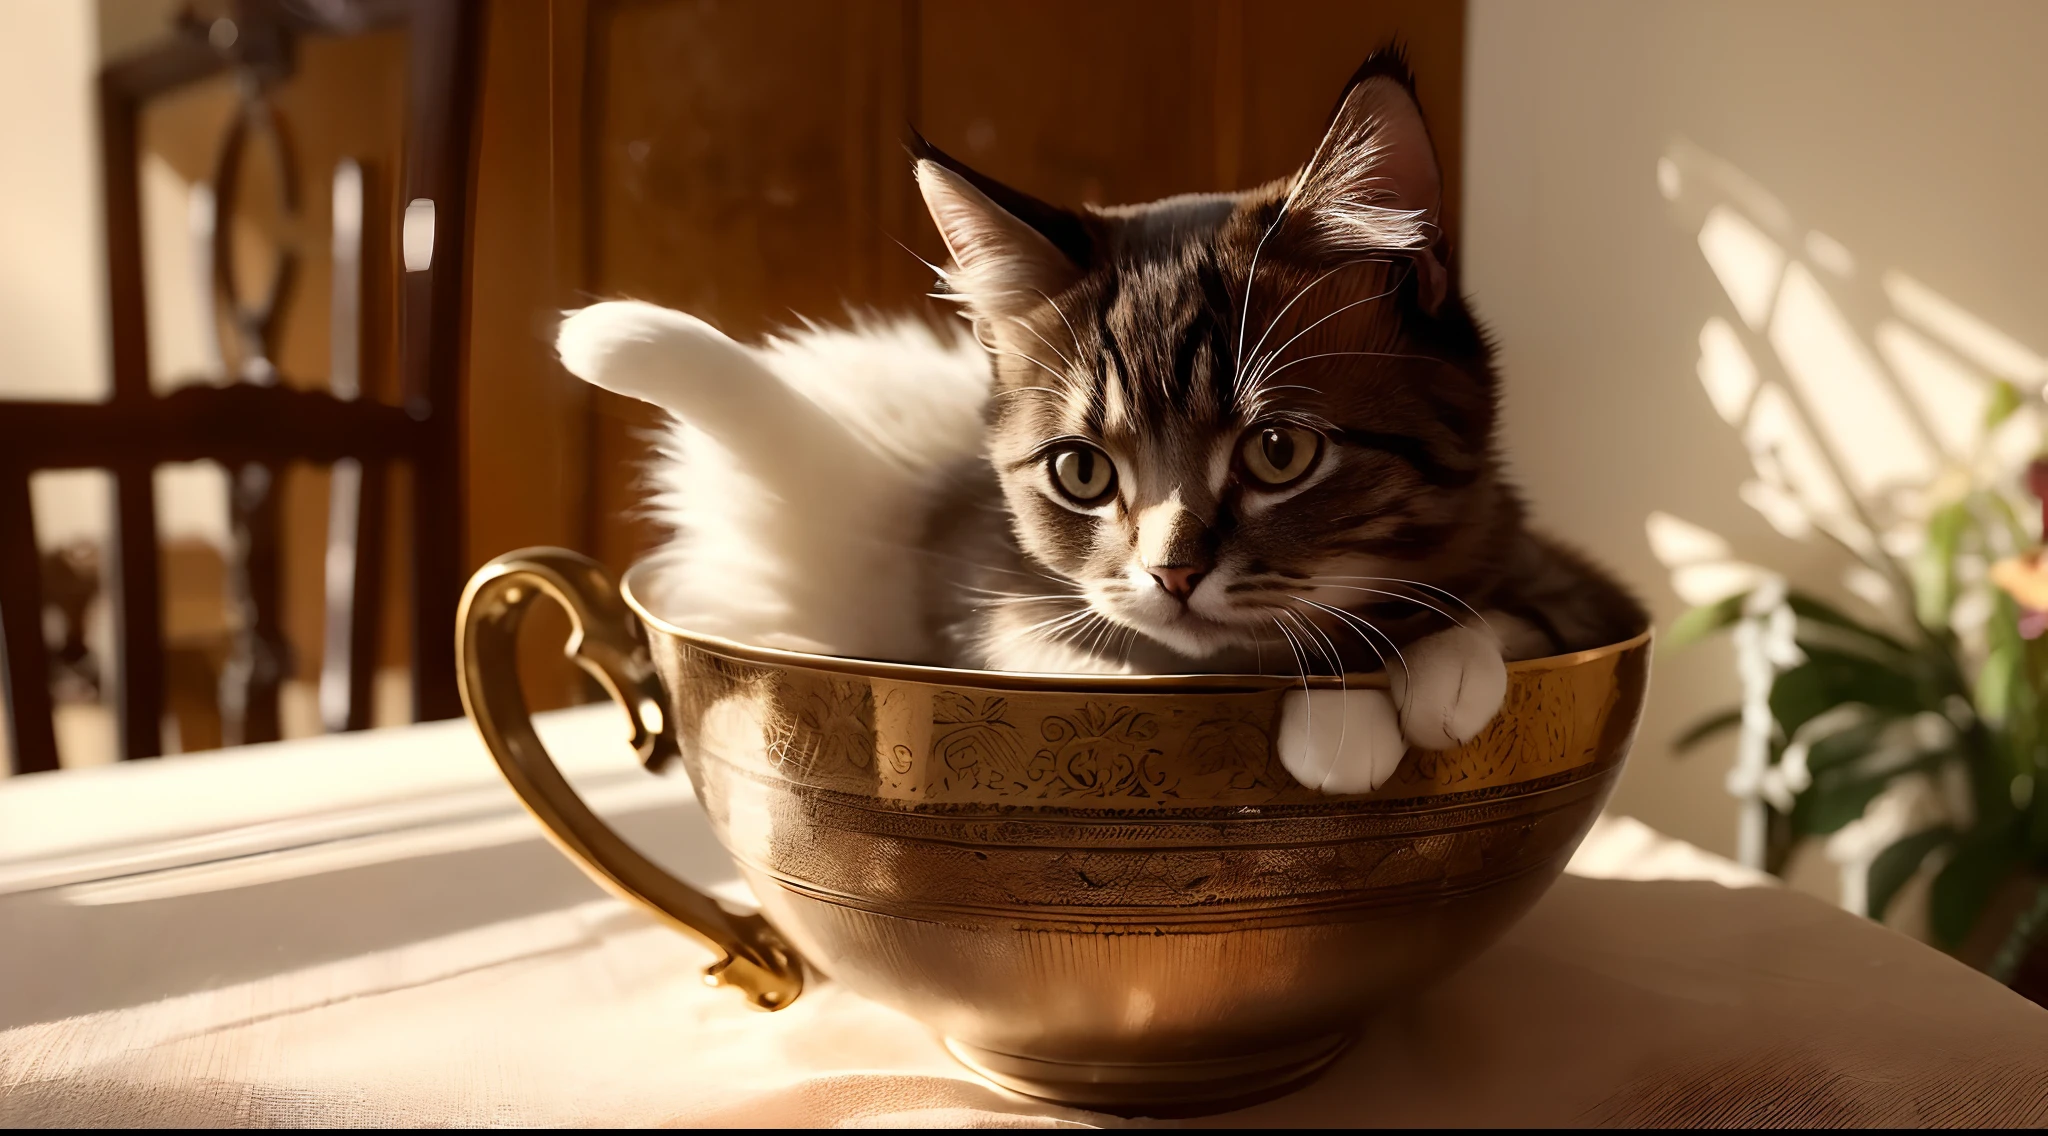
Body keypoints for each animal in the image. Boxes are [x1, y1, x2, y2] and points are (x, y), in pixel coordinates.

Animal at [561, 53, 1646, 794]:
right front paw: (1339, 722)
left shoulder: (1561, 570)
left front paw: (1439, 666)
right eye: (1081, 471)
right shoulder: (996, 607)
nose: (1172, 574)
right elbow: (1082, 649)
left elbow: (1510, 608)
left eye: (1279, 451)